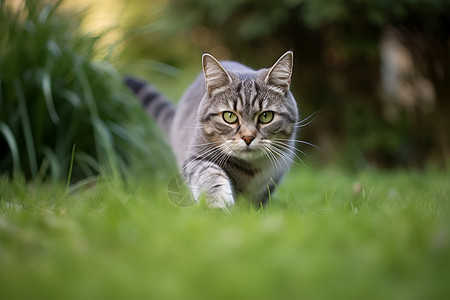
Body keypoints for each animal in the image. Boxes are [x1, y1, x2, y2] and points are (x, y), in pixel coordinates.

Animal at [124, 51, 298, 209]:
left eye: (266, 116)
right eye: (229, 116)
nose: (248, 137)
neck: (248, 169)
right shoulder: (196, 158)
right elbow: (209, 174)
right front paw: (218, 201)